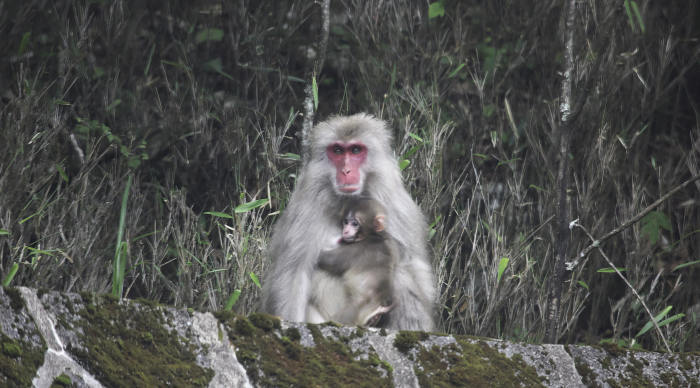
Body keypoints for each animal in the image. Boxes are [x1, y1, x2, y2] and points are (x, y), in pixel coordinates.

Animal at [308, 197, 396, 328]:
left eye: (355, 223)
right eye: (346, 222)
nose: (345, 231)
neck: (372, 236)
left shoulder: (356, 249)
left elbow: (326, 260)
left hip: (354, 309)